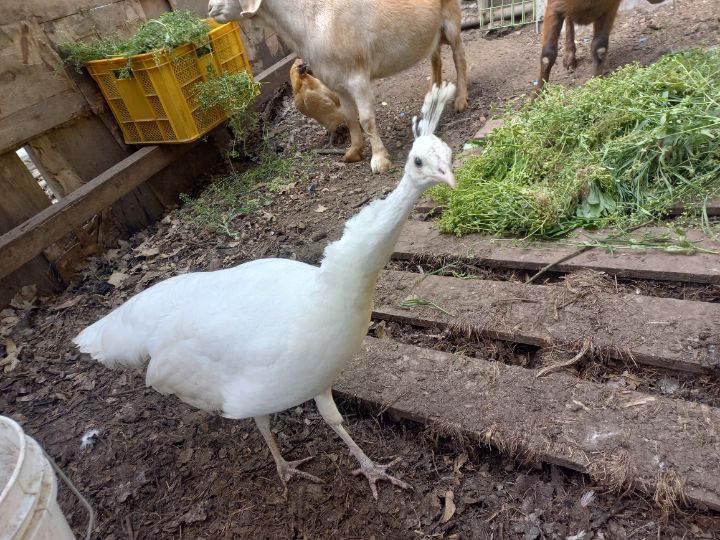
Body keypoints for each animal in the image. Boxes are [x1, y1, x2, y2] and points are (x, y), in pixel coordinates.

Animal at [208, 0, 468, 173]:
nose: (210, 8)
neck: (310, 18)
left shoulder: (357, 77)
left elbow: (366, 119)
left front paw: (379, 160)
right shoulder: (338, 83)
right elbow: (350, 117)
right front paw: (353, 152)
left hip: (451, 21)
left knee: (459, 59)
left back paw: (461, 101)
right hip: (433, 34)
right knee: (436, 58)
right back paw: (434, 91)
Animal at [536, 0, 666, 93]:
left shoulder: (609, 8)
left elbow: (599, 47)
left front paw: (596, 83)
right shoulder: (554, 7)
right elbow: (547, 55)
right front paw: (537, 97)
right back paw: (569, 60)